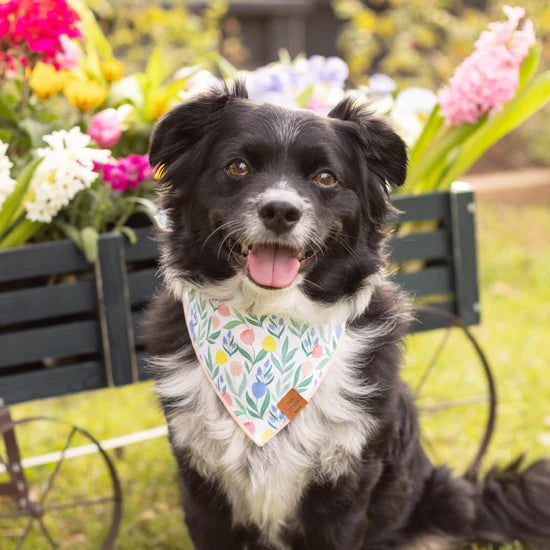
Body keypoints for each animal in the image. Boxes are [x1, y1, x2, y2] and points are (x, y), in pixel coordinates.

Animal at [146, 83, 550, 550]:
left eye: (326, 177)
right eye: (238, 166)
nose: (280, 211)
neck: (269, 325)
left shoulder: (346, 492)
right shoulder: (202, 491)